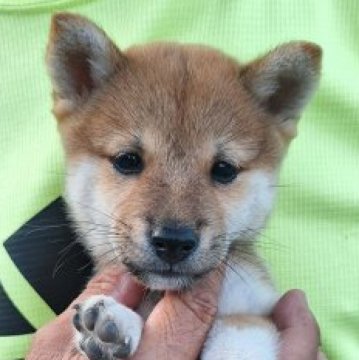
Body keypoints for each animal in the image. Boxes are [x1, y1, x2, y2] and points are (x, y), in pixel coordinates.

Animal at [45, 13, 324, 360]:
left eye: (224, 169)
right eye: (128, 160)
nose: (173, 242)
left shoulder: (251, 311)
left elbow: (234, 338)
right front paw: (117, 322)